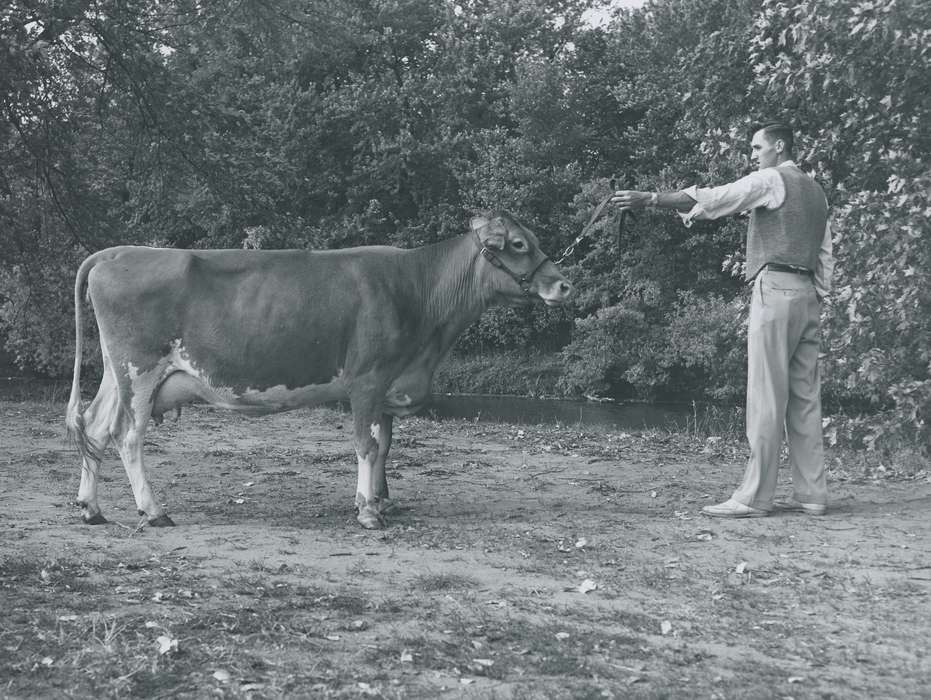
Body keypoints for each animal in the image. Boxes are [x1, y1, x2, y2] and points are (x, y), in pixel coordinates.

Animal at [65, 211, 573, 529]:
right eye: (519, 244)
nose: (564, 284)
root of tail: (116, 252)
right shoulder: (367, 379)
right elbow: (366, 446)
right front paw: (368, 512)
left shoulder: (387, 385)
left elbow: (384, 446)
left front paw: (378, 500)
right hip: (140, 372)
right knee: (128, 436)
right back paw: (154, 511)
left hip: (117, 372)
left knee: (94, 424)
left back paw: (91, 508)